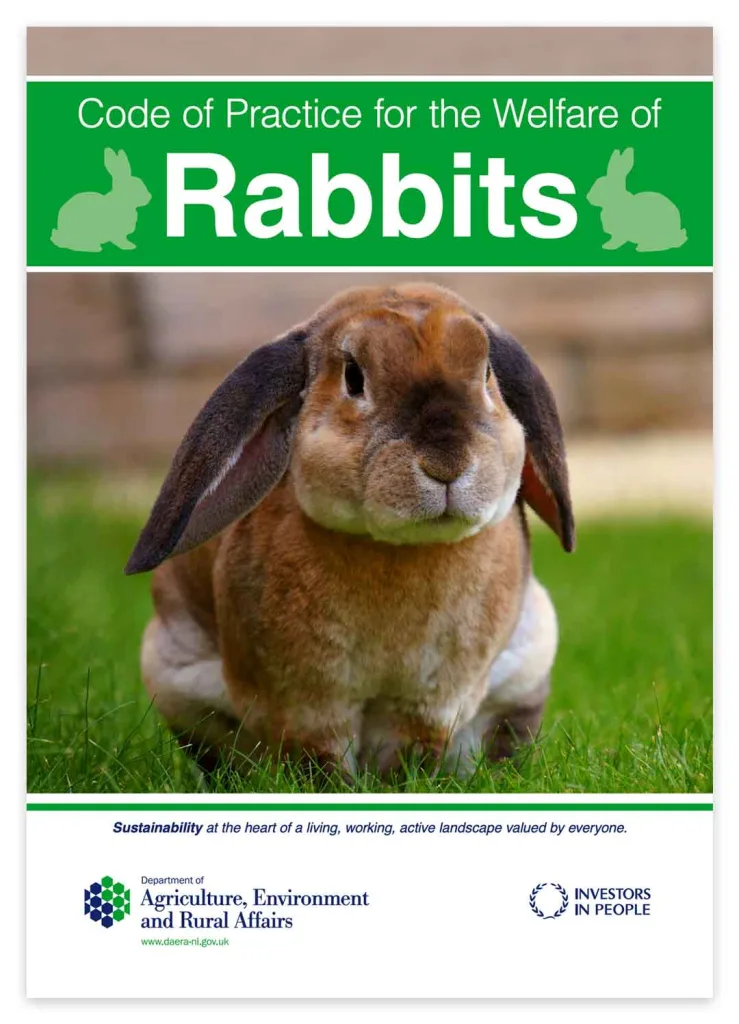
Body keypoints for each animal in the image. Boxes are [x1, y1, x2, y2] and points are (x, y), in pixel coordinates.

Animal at [125, 283, 575, 780]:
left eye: (487, 372)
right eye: (354, 377)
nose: (447, 463)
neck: (399, 549)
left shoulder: (428, 703)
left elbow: (411, 752)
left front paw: (402, 785)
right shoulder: (307, 703)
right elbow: (319, 758)